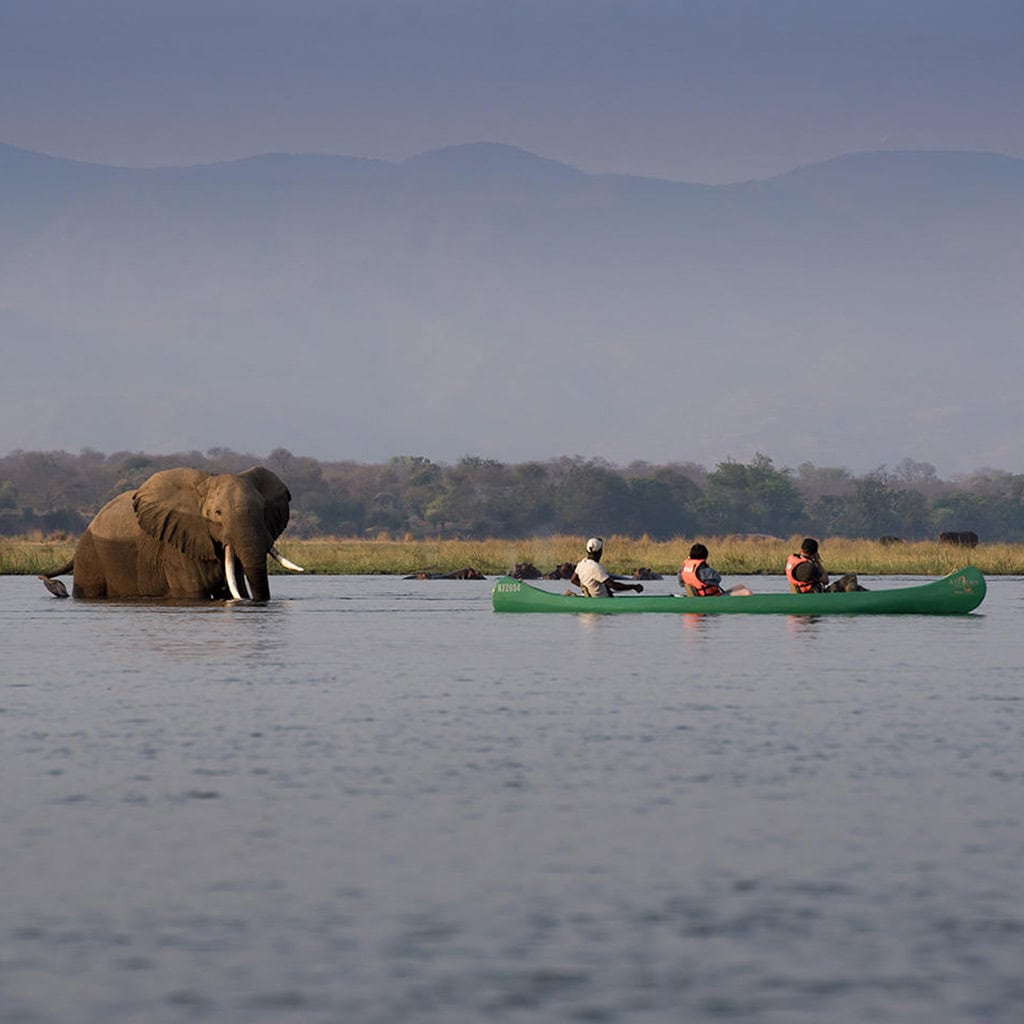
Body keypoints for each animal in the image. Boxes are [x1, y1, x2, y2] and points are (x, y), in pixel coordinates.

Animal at [40, 466, 303, 601]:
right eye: (218, 513)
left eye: (263, 511)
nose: (256, 602)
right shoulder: (176, 546)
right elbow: (193, 593)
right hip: (90, 558)